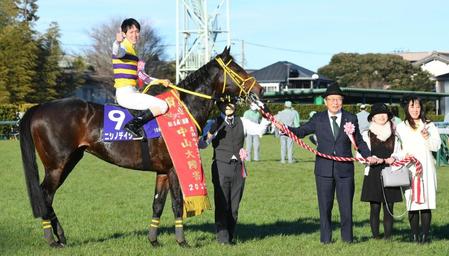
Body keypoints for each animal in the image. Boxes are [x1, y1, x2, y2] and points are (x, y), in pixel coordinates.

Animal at [20, 46, 262, 248]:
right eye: (236, 68)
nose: (259, 89)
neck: (183, 108)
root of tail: (39, 107)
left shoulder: (162, 171)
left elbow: (158, 204)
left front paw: (153, 240)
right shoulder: (174, 169)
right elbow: (176, 204)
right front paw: (182, 241)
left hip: (70, 160)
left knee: (47, 196)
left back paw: (60, 236)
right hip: (56, 165)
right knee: (45, 194)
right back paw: (52, 239)